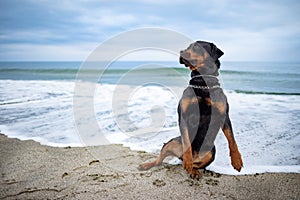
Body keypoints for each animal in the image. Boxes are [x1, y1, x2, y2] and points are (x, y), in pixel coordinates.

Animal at [139, 41, 244, 179]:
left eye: (197, 47)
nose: (181, 52)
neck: (202, 82)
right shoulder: (183, 114)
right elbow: (187, 140)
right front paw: (188, 159)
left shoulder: (223, 115)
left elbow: (232, 139)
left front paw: (237, 160)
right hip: (172, 142)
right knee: (160, 160)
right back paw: (149, 165)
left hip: (211, 152)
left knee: (197, 165)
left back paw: (193, 170)